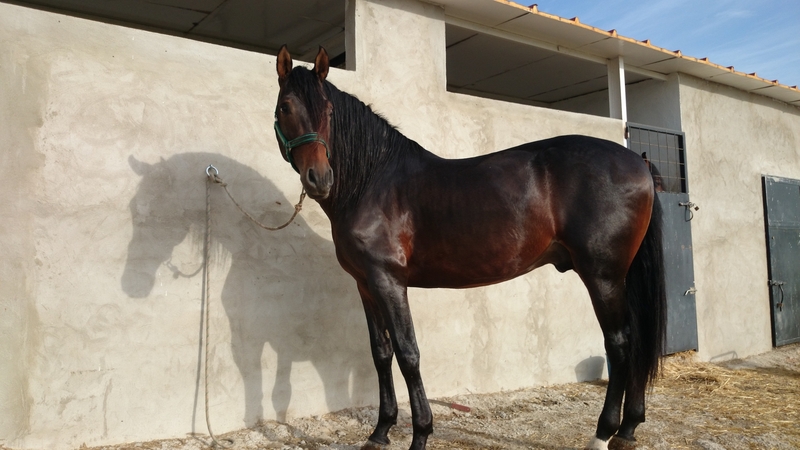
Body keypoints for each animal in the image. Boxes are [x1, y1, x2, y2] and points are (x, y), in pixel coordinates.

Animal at [273, 46, 667, 450]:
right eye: (285, 106)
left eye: (329, 111)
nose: (319, 179)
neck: (372, 181)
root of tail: (638, 162)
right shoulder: (365, 285)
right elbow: (381, 354)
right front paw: (380, 432)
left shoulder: (389, 281)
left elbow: (408, 353)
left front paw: (420, 434)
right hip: (620, 276)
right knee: (637, 340)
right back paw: (628, 429)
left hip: (603, 276)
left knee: (619, 344)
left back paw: (602, 433)